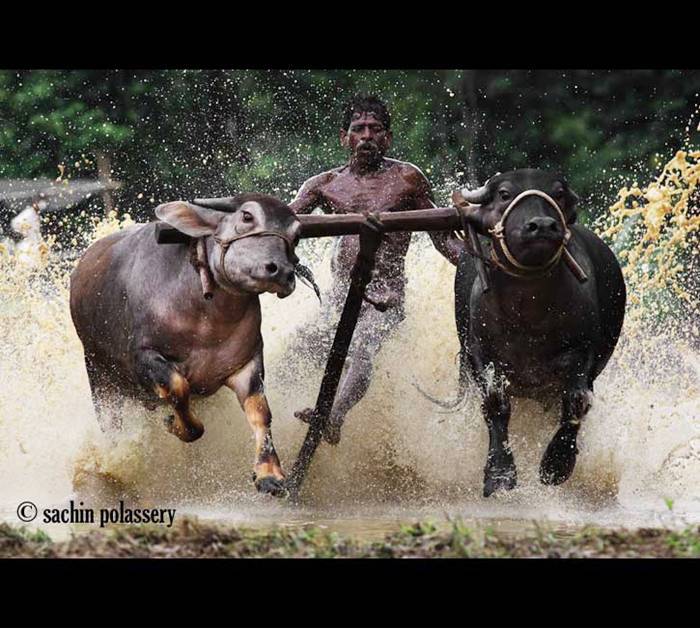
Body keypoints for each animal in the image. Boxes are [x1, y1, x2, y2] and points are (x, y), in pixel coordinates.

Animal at [69, 193, 302, 497]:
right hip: (101, 379)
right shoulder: (143, 358)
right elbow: (179, 390)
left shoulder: (247, 363)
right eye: (247, 216)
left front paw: (269, 474)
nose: (282, 271)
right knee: (111, 425)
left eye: (296, 235)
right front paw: (174, 424)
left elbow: (261, 412)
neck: (206, 317)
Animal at [450, 169, 626, 497]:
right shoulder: (479, 351)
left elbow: (577, 400)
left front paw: (557, 464)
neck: (527, 309)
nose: (542, 226)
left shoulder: (582, 350)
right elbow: (494, 401)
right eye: (504, 194)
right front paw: (499, 473)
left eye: (557, 193)